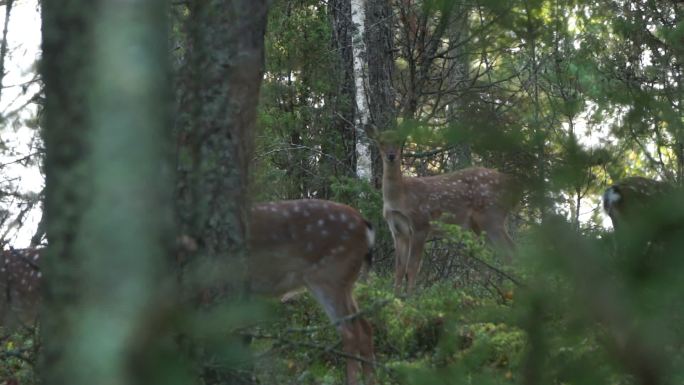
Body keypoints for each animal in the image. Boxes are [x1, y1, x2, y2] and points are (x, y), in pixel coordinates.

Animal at [374, 132, 520, 294]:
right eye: (381, 142)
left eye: (399, 141)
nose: (391, 155)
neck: (400, 197)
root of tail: (512, 185)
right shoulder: (398, 231)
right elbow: (399, 268)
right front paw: (395, 295)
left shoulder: (421, 223)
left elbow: (413, 266)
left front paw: (409, 296)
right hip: (480, 226)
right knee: (507, 254)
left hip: (492, 216)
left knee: (512, 252)